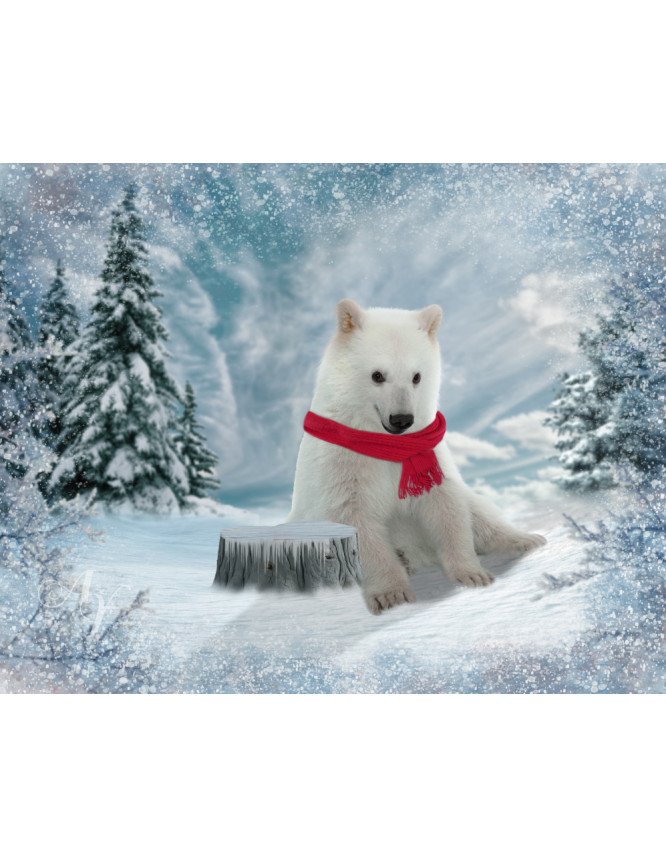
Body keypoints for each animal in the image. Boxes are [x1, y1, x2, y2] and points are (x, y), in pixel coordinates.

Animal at [287, 298, 546, 614]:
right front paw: (392, 595)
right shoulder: (342, 465)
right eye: (377, 375)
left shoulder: (428, 453)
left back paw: (526, 539)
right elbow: (355, 520)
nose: (402, 419)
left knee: (478, 510)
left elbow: (446, 505)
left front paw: (472, 574)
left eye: (417, 376)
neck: (381, 441)